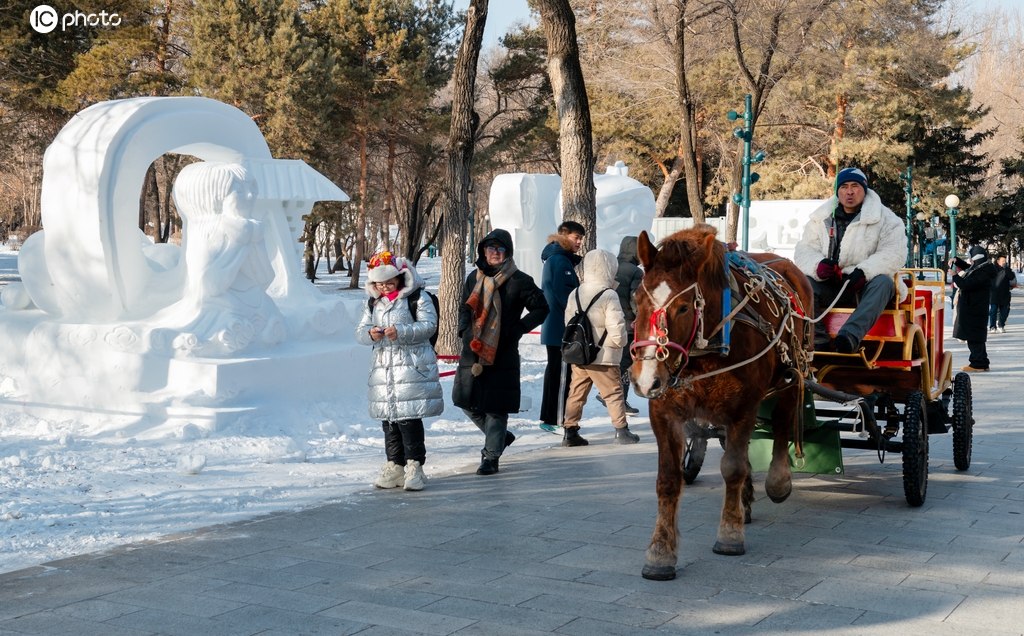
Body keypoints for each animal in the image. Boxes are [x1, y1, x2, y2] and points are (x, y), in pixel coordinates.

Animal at [626, 224, 811, 581]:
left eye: (684, 307)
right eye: (636, 299)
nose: (644, 379)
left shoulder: (745, 406)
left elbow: (733, 467)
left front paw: (730, 532)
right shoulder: (664, 411)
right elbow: (668, 479)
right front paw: (660, 551)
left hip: (793, 372)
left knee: (782, 424)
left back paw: (777, 482)